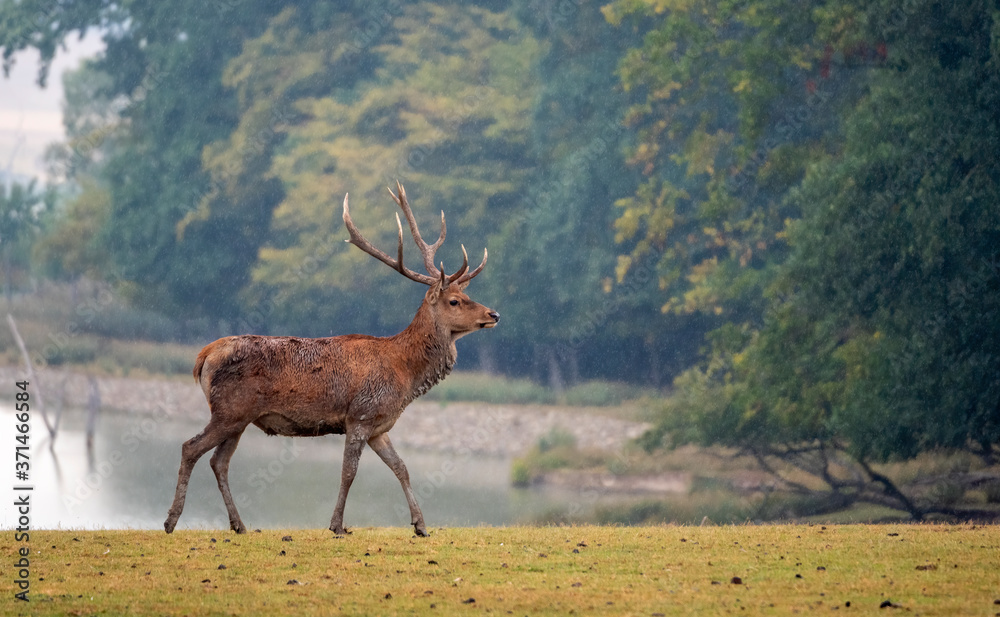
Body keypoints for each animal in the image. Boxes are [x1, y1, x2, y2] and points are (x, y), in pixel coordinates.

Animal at [163, 182, 499, 537]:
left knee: (219, 461)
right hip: (230, 409)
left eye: (467, 295)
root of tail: (204, 355)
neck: (404, 373)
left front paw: (420, 525)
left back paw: (238, 524)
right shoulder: (360, 415)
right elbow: (348, 472)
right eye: (455, 300)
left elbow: (401, 468)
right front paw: (337, 524)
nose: (494, 314)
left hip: (239, 417)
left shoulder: (379, 425)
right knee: (191, 447)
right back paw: (172, 520)